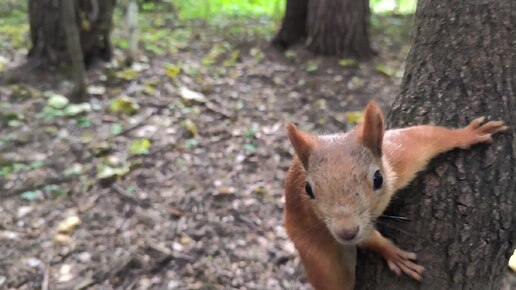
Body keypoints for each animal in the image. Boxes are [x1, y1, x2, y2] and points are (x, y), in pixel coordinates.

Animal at [286, 100, 508, 290]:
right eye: (308, 189)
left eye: (378, 179)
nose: (346, 232)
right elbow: (368, 239)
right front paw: (392, 253)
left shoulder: (401, 155)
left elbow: (429, 136)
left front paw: (468, 134)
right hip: (320, 260)